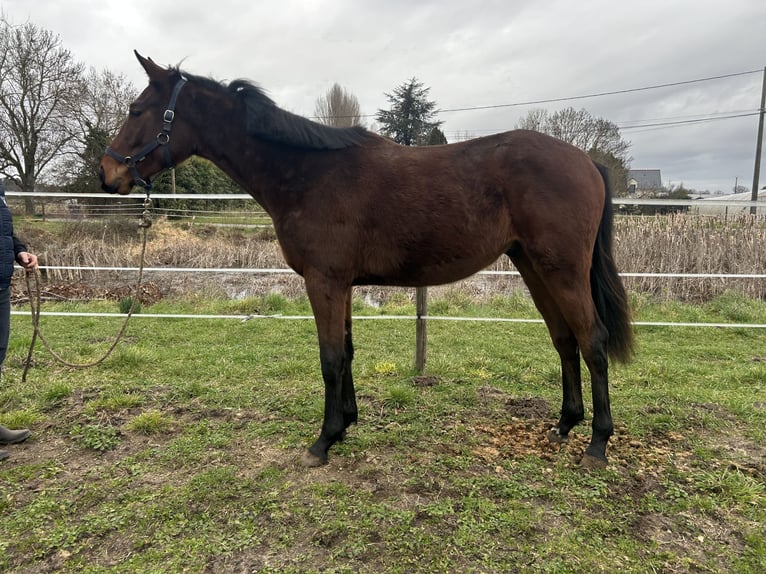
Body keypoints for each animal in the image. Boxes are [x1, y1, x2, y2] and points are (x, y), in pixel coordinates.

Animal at [100, 52, 633, 469]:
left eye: (137, 109)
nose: (107, 174)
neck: (307, 174)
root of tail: (586, 162)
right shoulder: (342, 283)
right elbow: (348, 352)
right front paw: (346, 425)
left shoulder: (324, 281)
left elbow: (331, 358)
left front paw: (322, 441)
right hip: (534, 267)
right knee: (564, 340)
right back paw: (564, 425)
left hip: (562, 270)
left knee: (592, 341)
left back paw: (597, 445)